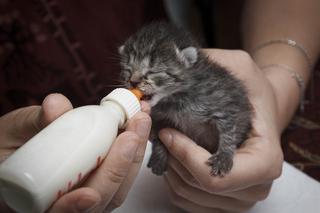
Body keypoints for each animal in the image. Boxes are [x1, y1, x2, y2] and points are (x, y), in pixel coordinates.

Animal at [117, 22, 252, 176]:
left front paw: (223, 157)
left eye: (153, 71)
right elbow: (158, 138)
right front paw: (158, 157)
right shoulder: (158, 118)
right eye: (128, 70)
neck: (175, 99)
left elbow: (229, 131)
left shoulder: (225, 102)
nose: (133, 82)